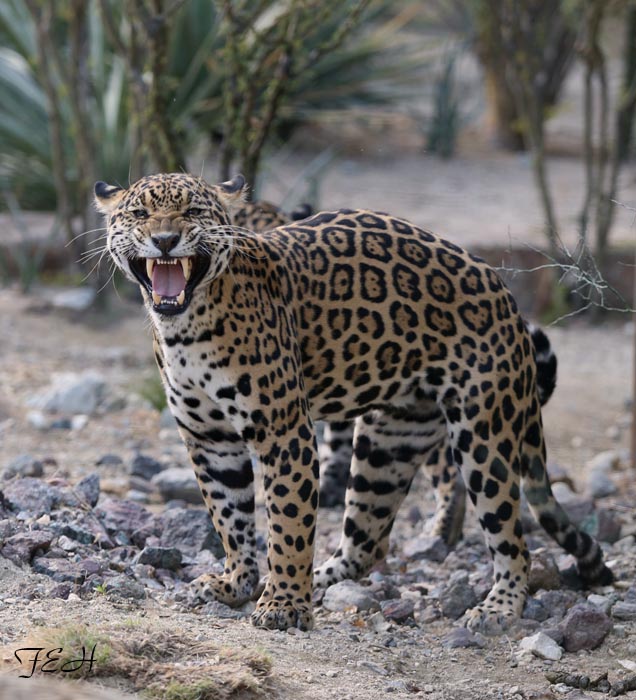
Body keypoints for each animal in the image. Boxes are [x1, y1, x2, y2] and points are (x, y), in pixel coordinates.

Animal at [96, 171, 612, 634]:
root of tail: (504, 292)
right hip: (389, 441)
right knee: (368, 543)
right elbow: (230, 516)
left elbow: (287, 523)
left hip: (485, 437)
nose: (165, 240)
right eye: (139, 215)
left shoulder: (283, 432)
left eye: (193, 213)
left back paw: (498, 608)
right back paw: (321, 578)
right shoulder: (209, 439)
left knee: (511, 538)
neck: (185, 328)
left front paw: (284, 605)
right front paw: (238, 583)